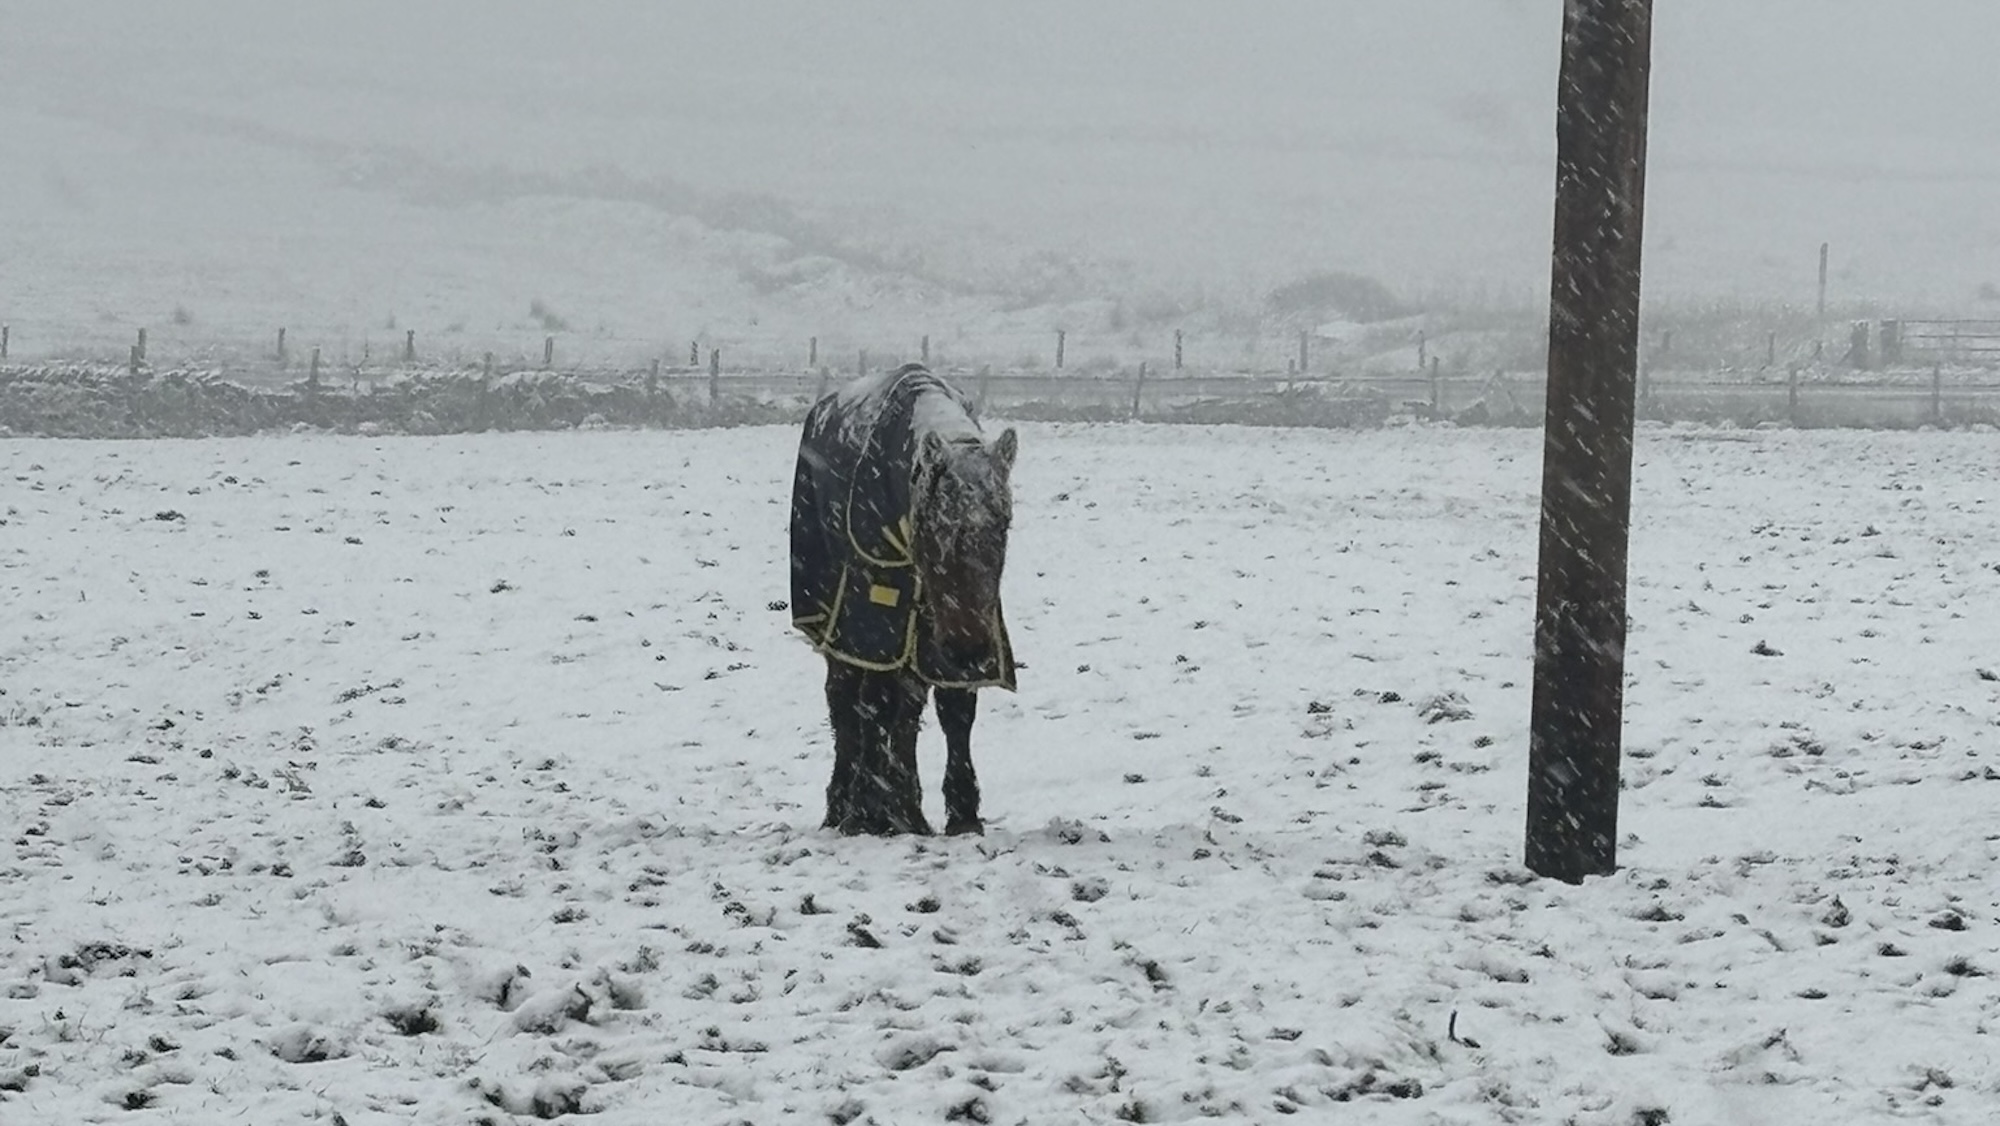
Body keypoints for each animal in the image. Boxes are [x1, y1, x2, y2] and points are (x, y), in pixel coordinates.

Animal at [789, 363, 1018, 836]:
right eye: (934, 524)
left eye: (1003, 522)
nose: (967, 648)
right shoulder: (874, 619)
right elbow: (873, 705)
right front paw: (867, 814)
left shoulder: (945, 625)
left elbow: (954, 711)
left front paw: (961, 817)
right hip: (845, 626)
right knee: (845, 702)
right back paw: (844, 808)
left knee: (907, 711)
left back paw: (908, 809)